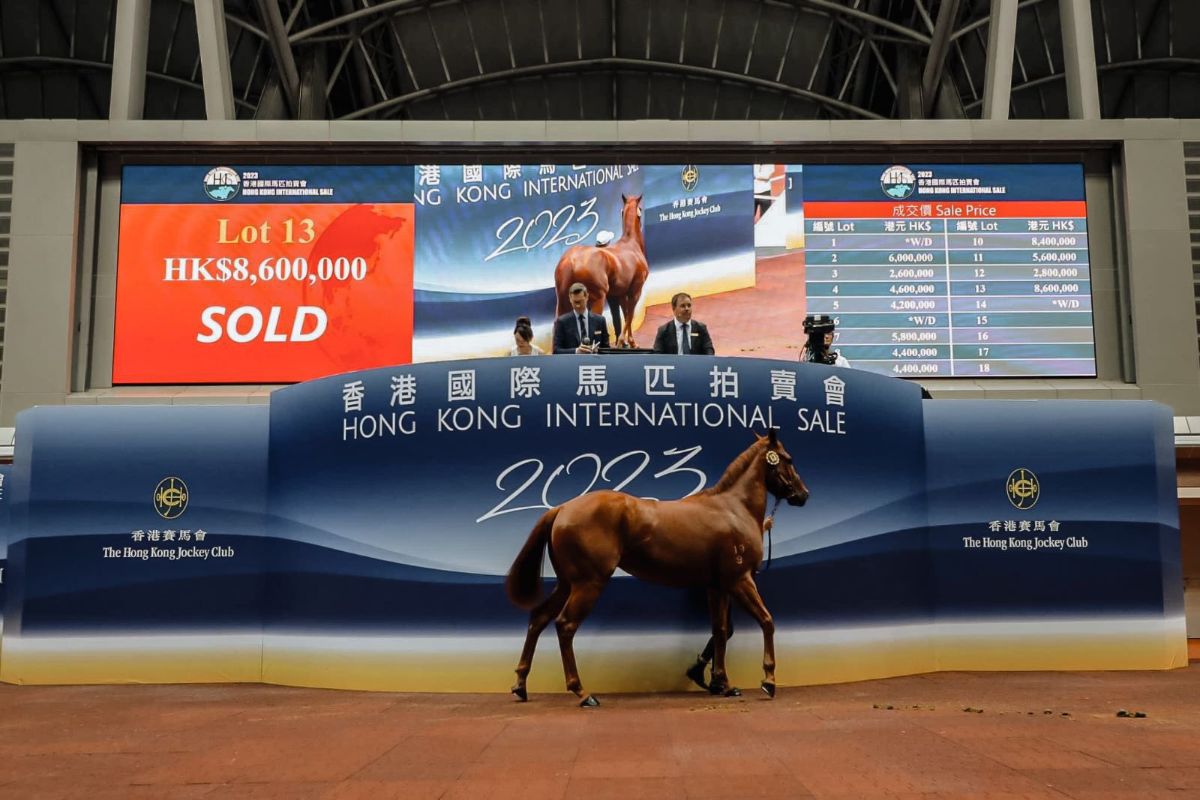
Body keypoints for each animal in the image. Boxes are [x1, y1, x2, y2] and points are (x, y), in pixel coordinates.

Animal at [505, 429, 809, 707]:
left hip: (567, 583)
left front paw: (722, 684)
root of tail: (562, 508)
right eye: (788, 459)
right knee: (565, 625)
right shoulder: (740, 580)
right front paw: (768, 681)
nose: (803, 495)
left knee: (539, 618)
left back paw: (521, 685)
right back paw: (582, 693)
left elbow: (720, 631)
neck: (733, 509)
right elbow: (766, 621)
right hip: (588, 583)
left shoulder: (717, 586)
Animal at [553, 194, 650, 348]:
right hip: (596, 299)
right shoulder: (635, 291)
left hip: (563, 301)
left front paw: (623, 342)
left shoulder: (618, 295)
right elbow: (630, 315)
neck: (631, 244)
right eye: (640, 208)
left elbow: (623, 315)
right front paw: (629, 342)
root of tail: (570, 260)